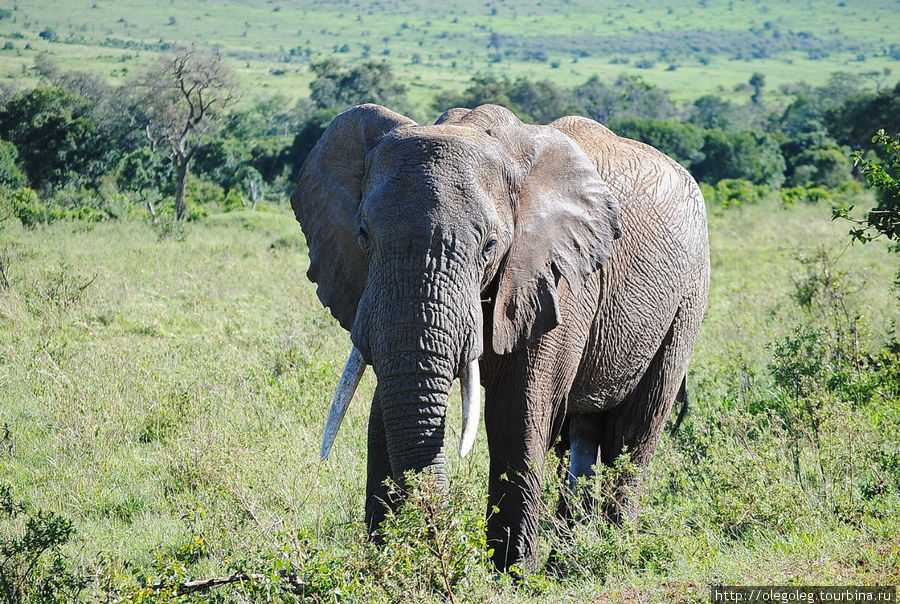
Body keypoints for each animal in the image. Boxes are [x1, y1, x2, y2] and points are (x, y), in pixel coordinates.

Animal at [292, 102, 712, 572]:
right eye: (363, 234)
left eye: (490, 246)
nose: (440, 555)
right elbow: (383, 412)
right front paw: (387, 567)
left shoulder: (556, 278)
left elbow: (517, 413)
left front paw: (511, 576)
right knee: (580, 436)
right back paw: (566, 565)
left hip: (687, 300)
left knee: (634, 431)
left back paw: (611, 556)